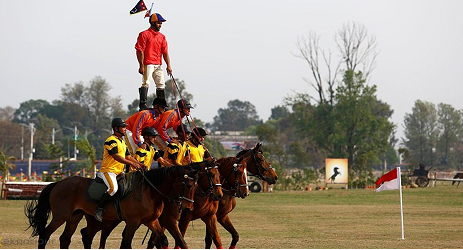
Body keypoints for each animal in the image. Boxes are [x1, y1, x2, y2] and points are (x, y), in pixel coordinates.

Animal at [24, 165, 199, 249]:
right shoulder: (133, 222)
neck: (149, 190)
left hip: (74, 217)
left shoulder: (151, 221)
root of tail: (57, 183)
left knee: (65, 239)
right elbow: (126, 244)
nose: (188, 209)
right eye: (188, 185)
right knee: (45, 235)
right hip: (61, 216)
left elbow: (163, 240)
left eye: (196, 185)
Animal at [87, 160, 225, 250]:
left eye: (220, 175)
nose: (219, 195)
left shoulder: (209, 216)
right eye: (212, 175)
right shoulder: (172, 220)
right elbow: (178, 241)